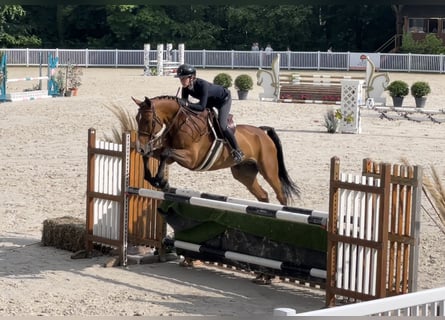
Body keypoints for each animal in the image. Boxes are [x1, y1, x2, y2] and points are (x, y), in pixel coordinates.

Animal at [131, 95, 298, 205]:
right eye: (137, 119)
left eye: (148, 121)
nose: (141, 146)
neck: (180, 123)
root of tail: (262, 132)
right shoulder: (173, 156)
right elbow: (154, 155)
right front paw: (153, 179)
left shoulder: (192, 159)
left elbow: (166, 153)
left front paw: (161, 181)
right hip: (244, 174)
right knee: (263, 195)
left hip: (268, 170)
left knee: (281, 194)